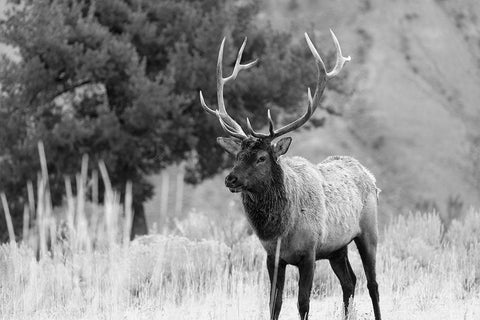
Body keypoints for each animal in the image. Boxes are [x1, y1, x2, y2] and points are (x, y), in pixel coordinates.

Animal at [199, 30, 382, 320]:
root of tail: (369, 176)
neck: (281, 231)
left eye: (262, 158)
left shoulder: (309, 253)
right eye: (237, 156)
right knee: (350, 282)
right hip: (337, 248)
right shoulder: (273, 258)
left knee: (372, 284)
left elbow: (303, 304)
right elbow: (274, 303)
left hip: (368, 231)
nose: (231, 179)